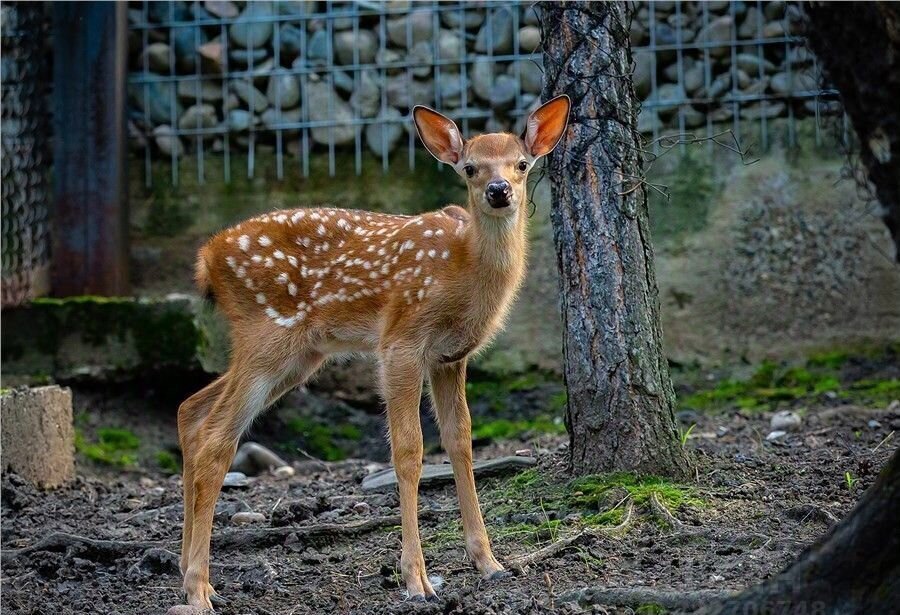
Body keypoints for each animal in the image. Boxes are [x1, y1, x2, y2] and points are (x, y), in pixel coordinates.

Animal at [176, 95, 568, 608]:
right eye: (469, 168)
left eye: (522, 164)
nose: (499, 190)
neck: (464, 272)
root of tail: (206, 260)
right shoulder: (401, 341)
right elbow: (409, 449)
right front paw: (416, 579)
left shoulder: (451, 357)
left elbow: (460, 441)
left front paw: (489, 563)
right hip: (267, 335)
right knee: (216, 441)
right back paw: (199, 590)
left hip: (296, 355)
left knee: (190, 409)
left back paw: (185, 571)